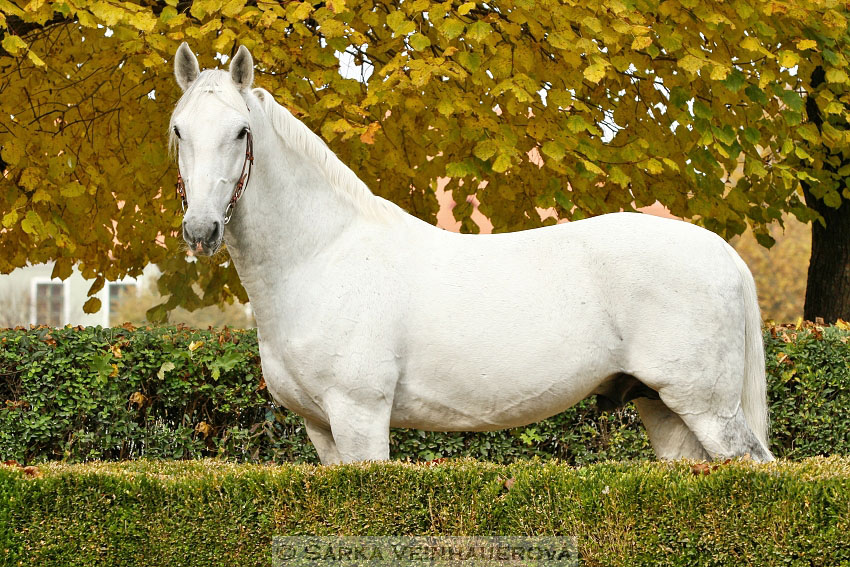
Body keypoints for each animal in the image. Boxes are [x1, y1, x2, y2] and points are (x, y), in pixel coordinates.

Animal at [169, 44, 772, 466]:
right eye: (178, 130)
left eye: (241, 132)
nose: (201, 230)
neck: (321, 255)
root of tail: (723, 255)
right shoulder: (322, 429)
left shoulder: (360, 415)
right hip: (663, 408)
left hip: (708, 409)